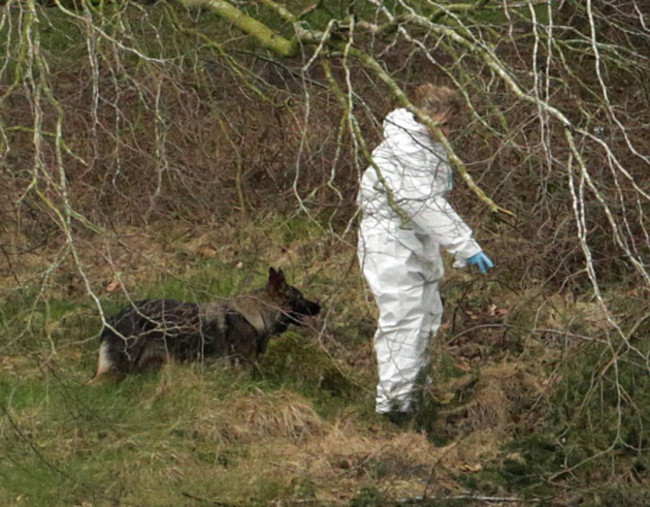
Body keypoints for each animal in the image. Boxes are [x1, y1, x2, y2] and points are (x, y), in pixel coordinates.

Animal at [87, 268, 320, 382]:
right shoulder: (240, 371)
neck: (258, 314)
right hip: (118, 370)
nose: (320, 306)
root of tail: (114, 318)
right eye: (301, 298)